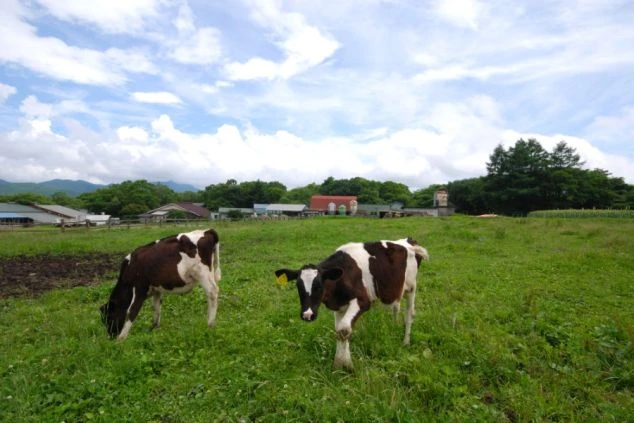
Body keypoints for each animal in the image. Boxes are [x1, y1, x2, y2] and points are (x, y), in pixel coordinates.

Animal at [275, 237, 429, 370]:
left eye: (319, 286)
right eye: (298, 286)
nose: (307, 315)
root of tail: (409, 241)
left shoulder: (362, 301)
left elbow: (344, 329)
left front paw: (347, 366)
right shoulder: (339, 306)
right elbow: (339, 330)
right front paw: (338, 365)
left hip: (412, 287)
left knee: (409, 315)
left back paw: (405, 342)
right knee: (396, 308)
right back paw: (394, 326)